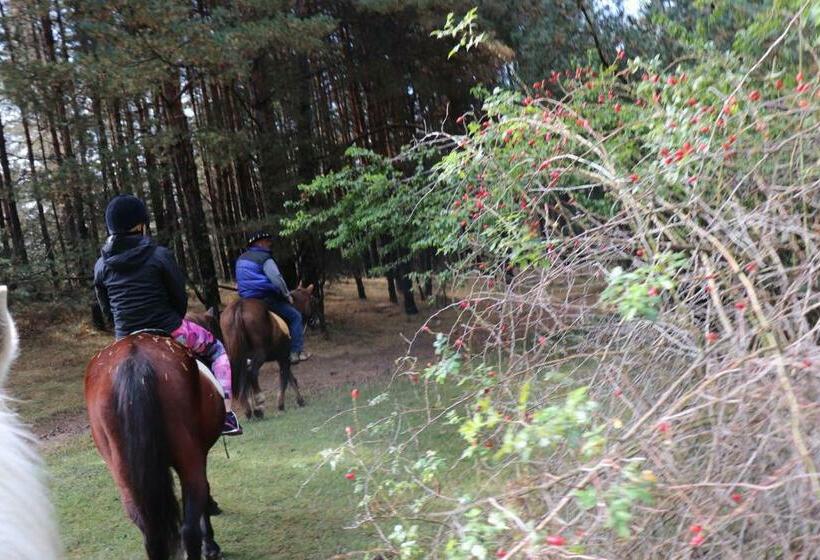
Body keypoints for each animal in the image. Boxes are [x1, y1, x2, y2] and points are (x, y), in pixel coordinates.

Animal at [85, 332, 225, 560]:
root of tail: (134, 360)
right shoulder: (201, 453)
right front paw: (211, 545)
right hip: (189, 460)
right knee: (190, 527)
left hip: (125, 477)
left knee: (151, 534)